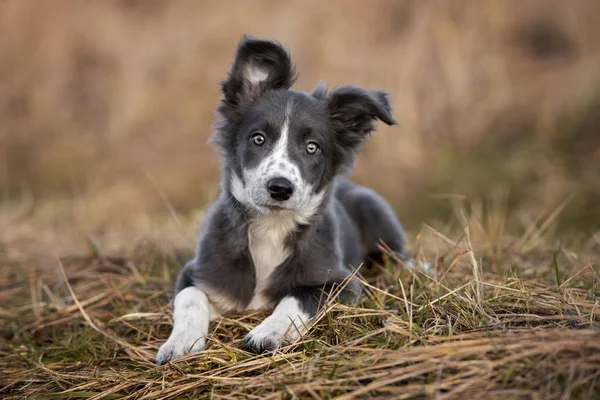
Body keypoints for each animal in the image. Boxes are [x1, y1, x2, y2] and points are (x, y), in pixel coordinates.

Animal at [157, 36, 414, 364]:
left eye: (312, 147)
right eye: (258, 139)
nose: (280, 188)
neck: (271, 228)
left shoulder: (340, 281)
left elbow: (299, 296)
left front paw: (270, 332)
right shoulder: (197, 272)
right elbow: (190, 299)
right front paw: (181, 342)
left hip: (375, 210)